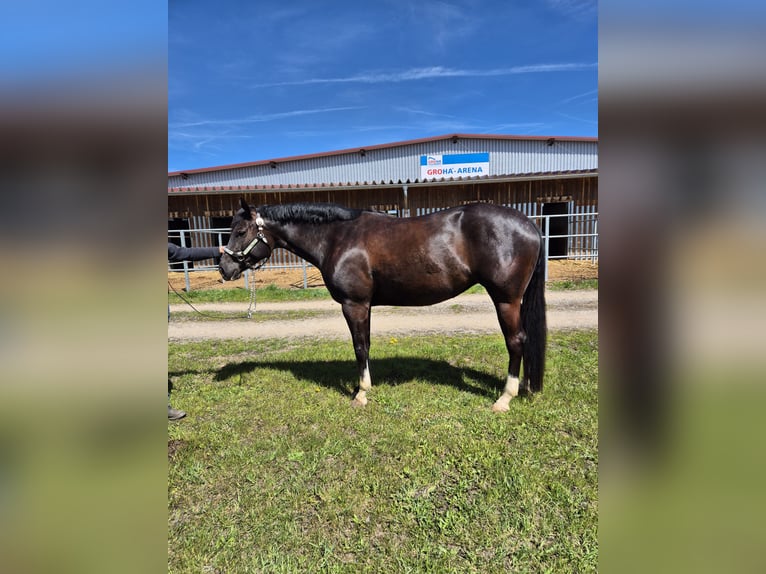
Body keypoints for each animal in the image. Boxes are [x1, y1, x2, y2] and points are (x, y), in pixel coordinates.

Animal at [219, 199, 546, 412]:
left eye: (240, 232)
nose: (224, 268)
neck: (337, 237)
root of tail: (529, 224)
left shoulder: (354, 305)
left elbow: (360, 346)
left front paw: (361, 394)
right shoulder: (364, 306)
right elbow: (366, 344)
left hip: (505, 300)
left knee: (516, 341)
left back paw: (505, 398)